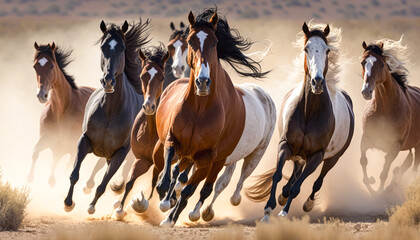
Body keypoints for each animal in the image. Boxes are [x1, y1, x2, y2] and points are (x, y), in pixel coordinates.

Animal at [28, 43, 100, 188]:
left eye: (52, 65)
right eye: (35, 66)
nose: (41, 95)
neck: (61, 111)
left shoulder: (72, 147)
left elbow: (66, 167)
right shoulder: (47, 138)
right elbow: (35, 152)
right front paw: (30, 177)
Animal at [64, 19, 151, 214]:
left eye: (122, 48)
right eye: (103, 47)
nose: (108, 81)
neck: (110, 111)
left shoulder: (120, 153)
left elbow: (103, 184)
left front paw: (91, 206)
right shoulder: (84, 141)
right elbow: (74, 174)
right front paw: (68, 202)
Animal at [154, 9, 276, 227]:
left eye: (215, 42)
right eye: (191, 40)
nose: (202, 82)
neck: (199, 110)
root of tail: (262, 94)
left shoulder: (206, 159)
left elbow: (189, 190)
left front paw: (171, 216)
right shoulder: (173, 141)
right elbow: (169, 176)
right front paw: (165, 199)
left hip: (251, 155)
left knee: (227, 183)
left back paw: (210, 209)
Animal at [246, 22, 354, 221]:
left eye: (327, 50)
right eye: (306, 48)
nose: (317, 82)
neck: (308, 113)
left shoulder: (316, 156)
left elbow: (298, 187)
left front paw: (283, 212)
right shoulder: (285, 145)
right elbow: (277, 175)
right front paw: (268, 210)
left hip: (332, 158)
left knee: (317, 181)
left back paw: (307, 204)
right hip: (299, 156)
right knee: (294, 176)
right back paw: (282, 195)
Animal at [360, 38, 420, 195]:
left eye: (381, 64)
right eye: (363, 62)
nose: (366, 91)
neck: (385, 110)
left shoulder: (395, 147)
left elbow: (384, 172)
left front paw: (379, 192)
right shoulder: (366, 139)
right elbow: (363, 161)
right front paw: (370, 182)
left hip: (418, 145)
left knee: (413, 166)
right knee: (407, 164)